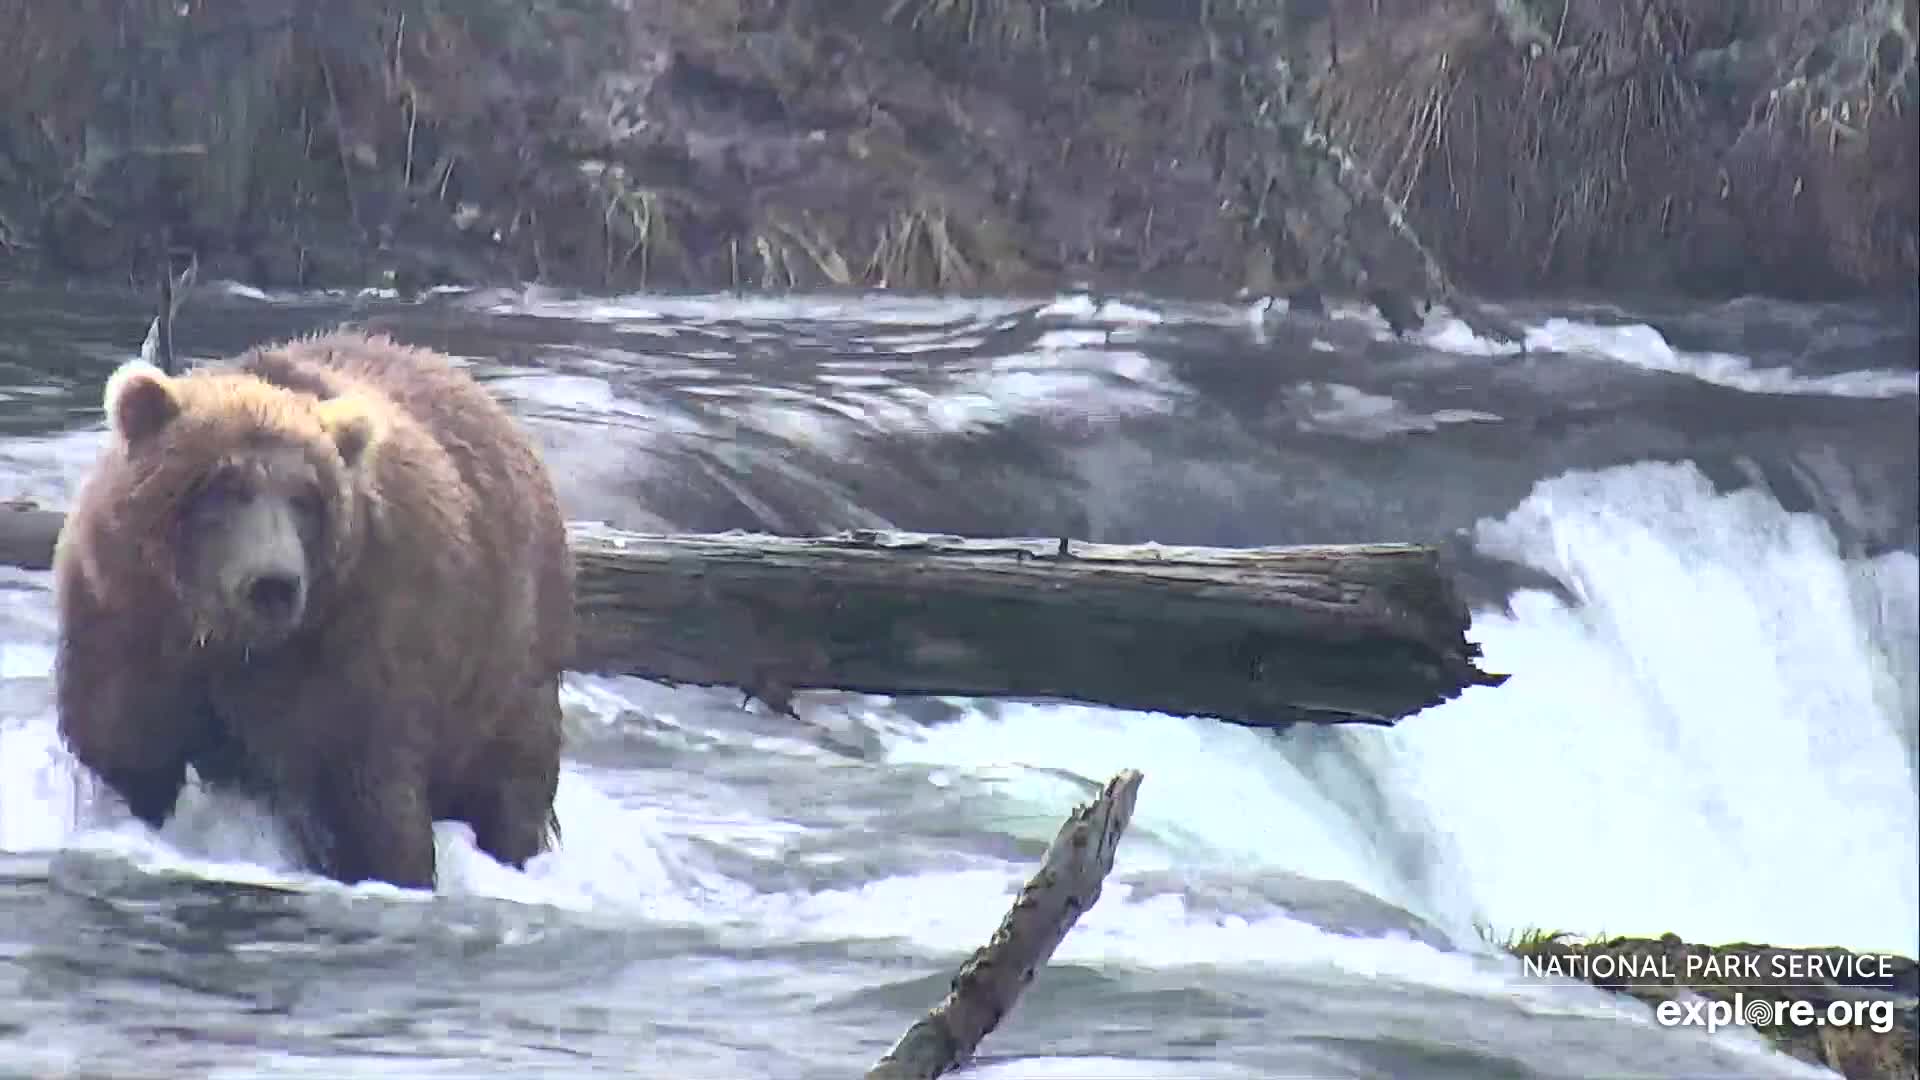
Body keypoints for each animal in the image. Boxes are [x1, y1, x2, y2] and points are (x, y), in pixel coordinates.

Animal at [52, 328, 572, 883]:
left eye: (305, 497)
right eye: (223, 484)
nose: (273, 583)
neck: (217, 636)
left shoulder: (349, 643)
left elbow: (355, 793)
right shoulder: (126, 622)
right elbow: (126, 746)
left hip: (503, 657)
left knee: (511, 777)